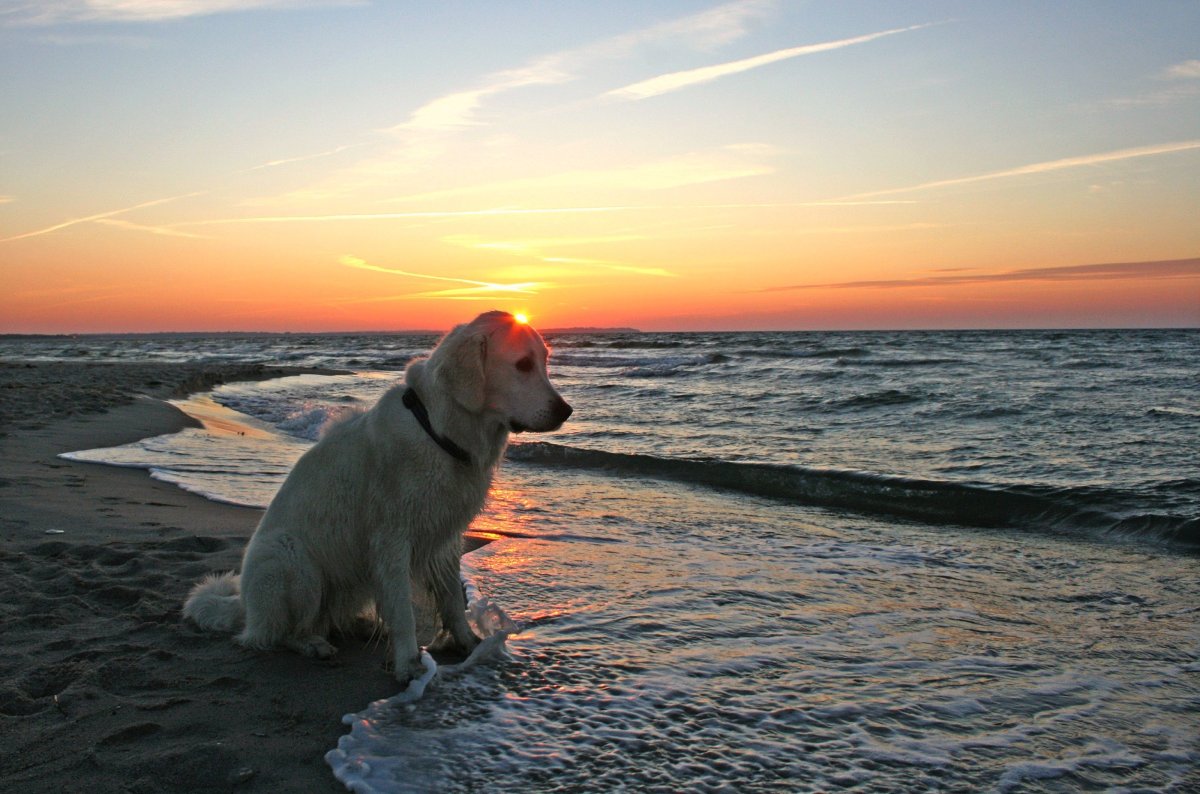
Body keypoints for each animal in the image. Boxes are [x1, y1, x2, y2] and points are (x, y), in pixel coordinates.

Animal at [182, 311, 571, 686]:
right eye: (522, 364)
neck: (438, 431)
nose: (566, 410)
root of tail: (245, 609)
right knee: (280, 633)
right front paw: (408, 664)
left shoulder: (445, 536)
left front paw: (467, 643)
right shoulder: (392, 539)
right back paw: (312, 643)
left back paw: (358, 625)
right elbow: (403, 610)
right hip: (291, 562)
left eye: (544, 361)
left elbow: (450, 598)